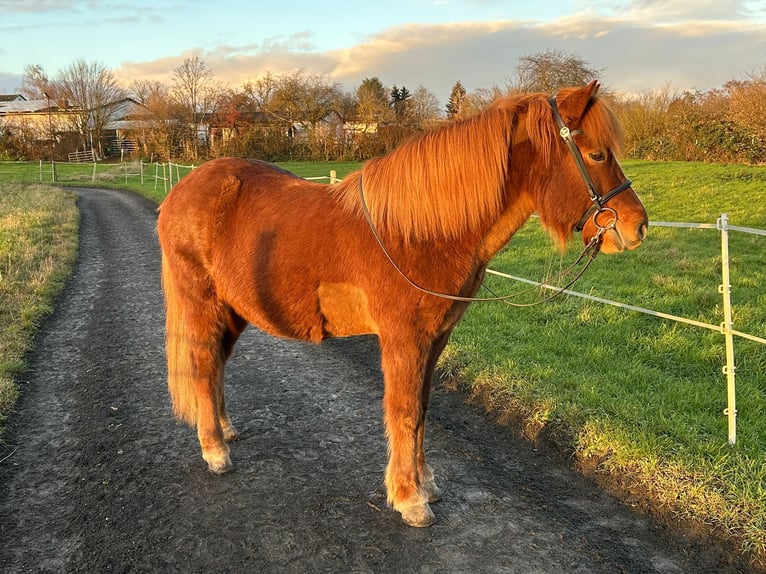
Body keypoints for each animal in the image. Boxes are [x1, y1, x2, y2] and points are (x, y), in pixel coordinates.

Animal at [159, 81, 652, 528]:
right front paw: (408, 498)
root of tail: (183, 191)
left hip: (233, 311)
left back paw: (223, 429)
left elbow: (423, 411)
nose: (638, 226)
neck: (421, 232)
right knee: (202, 364)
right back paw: (215, 449)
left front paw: (426, 484)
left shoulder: (436, 339)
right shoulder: (405, 339)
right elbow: (405, 410)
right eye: (597, 155)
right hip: (202, 305)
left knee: (217, 365)